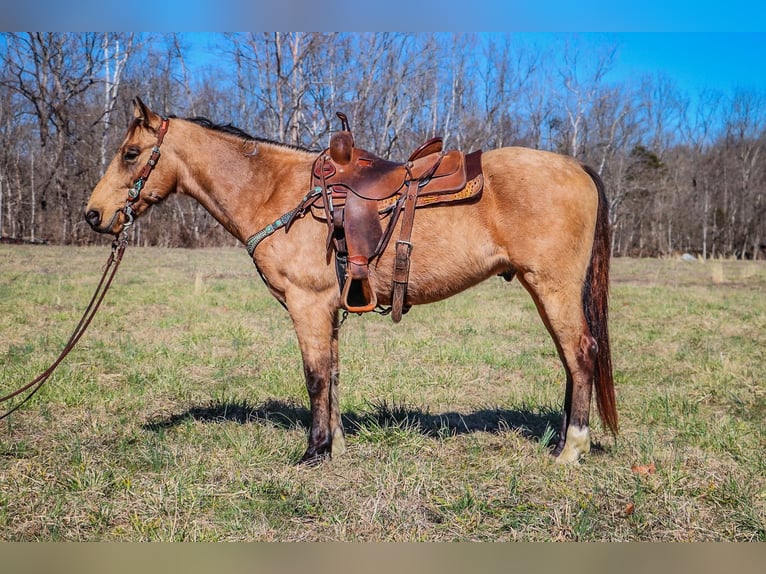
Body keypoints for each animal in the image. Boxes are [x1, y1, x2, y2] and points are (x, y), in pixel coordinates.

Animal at [84, 98, 616, 468]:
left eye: (131, 153)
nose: (94, 215)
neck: (278, 192)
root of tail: (578, 167)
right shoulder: (331, 309)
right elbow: (334, 374)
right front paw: (335, 445)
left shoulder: (308, 305)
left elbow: (315, 376)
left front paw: (313, 451)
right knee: (571, 359)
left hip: (551, 288)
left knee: (580, 353)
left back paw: (571, 449)